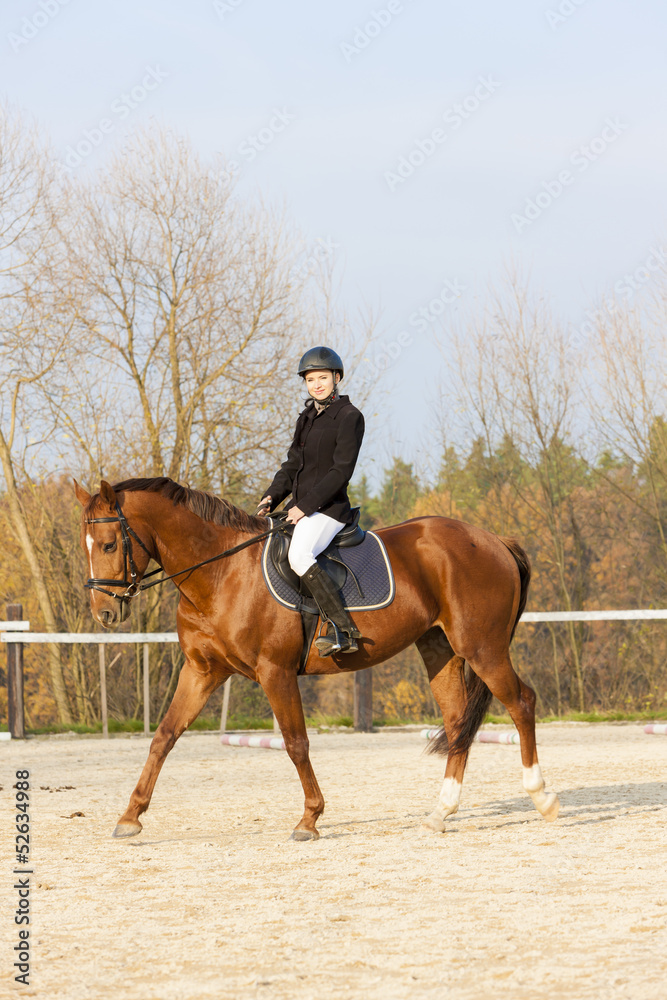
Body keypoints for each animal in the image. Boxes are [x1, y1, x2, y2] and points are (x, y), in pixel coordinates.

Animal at [75, 476, 560, 836]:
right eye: (87, 545)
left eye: (109, 544)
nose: (104, 612)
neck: (220, 571)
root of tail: (493, 538)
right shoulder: (202, 672)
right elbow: (164, 736)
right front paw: (130, 816)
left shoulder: (275, 672)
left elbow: (296, 743)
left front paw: (309, 818)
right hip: (440, 649)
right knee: (459, 722)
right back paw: (441, 812)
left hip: (482, 647)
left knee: (522, 703)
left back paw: (543, 798)